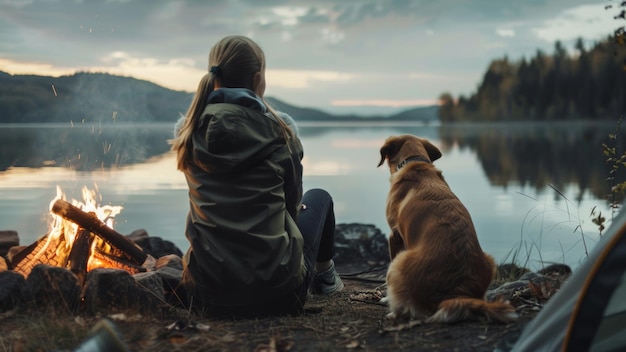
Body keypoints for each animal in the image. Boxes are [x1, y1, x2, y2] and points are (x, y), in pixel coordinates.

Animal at [378, 135, 516, 324]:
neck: (415, 162)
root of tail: (456, 293)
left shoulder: (395, 235)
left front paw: (385, 297)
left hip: (399, 262)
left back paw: (394, 311)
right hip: (489, 261)